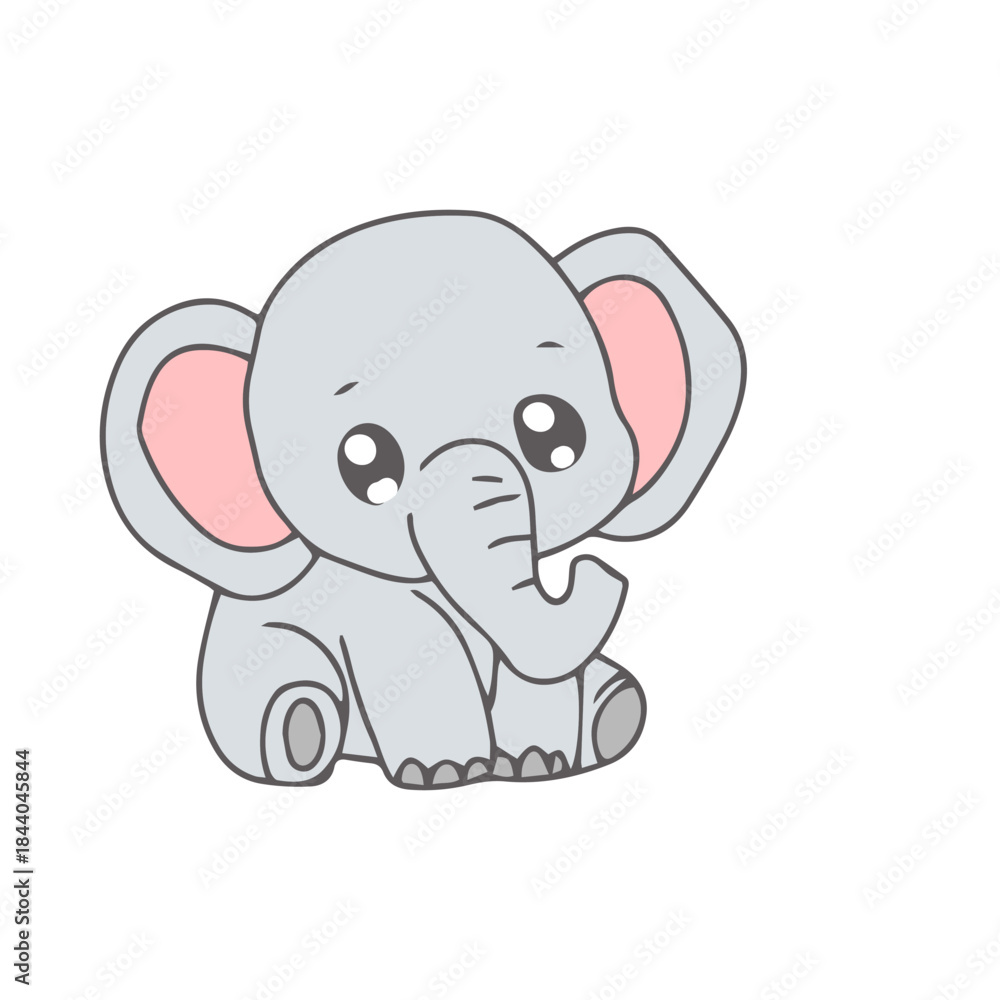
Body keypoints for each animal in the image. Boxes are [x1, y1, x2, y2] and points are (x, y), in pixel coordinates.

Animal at [101, 210, 745, 789]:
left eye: (554, 433)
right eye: (366, 465)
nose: (595, 571)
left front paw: (539, 763)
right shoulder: (363, 601)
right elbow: (416, 647)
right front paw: (444, 774)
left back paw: (614, 711)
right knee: (282, 698)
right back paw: (299, 731)